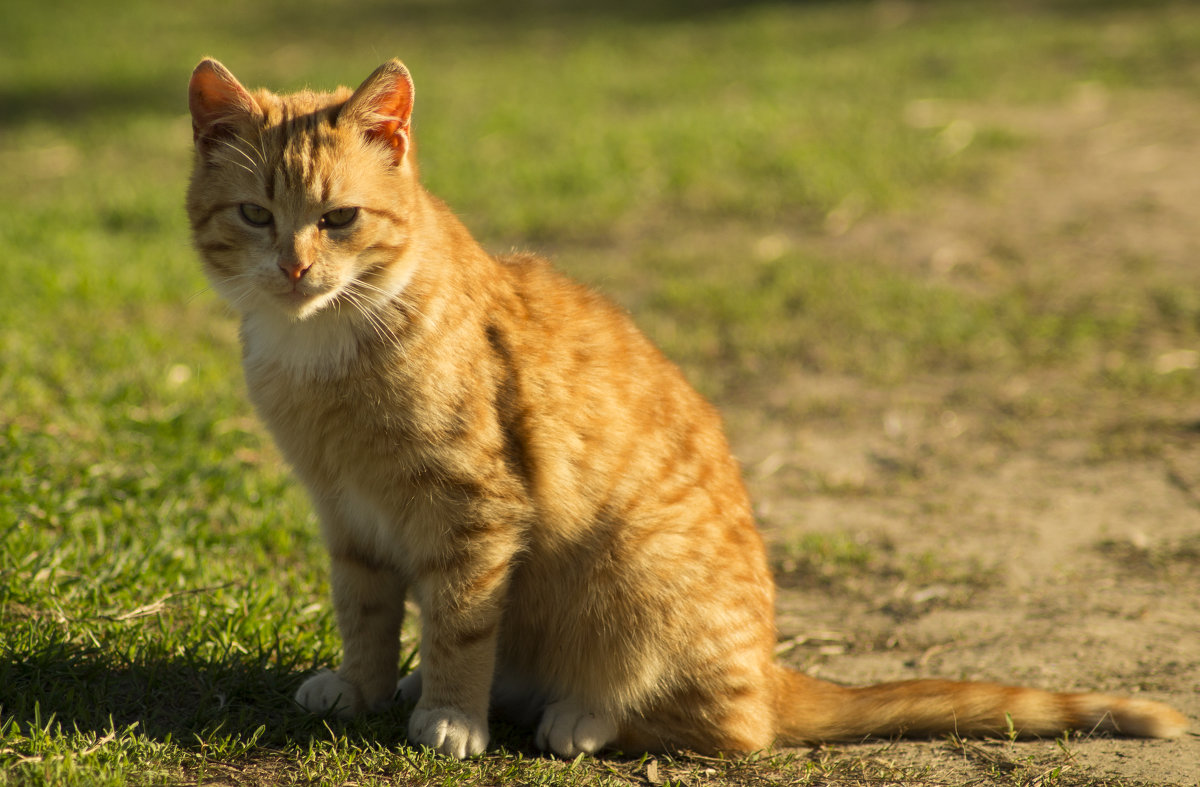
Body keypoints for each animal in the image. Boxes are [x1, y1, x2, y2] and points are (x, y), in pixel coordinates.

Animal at [182, 58, 1185, 758]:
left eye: (340, 219)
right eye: (256, 216)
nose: (295, 268)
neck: (322, 352)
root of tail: (771, 668)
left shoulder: (474, 516)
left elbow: (461, 627)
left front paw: (449, 716)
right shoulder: (349, 516)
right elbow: (363, 614)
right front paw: (360, 688)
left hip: (636, 583)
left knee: (724, 729)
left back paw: (579, 717)